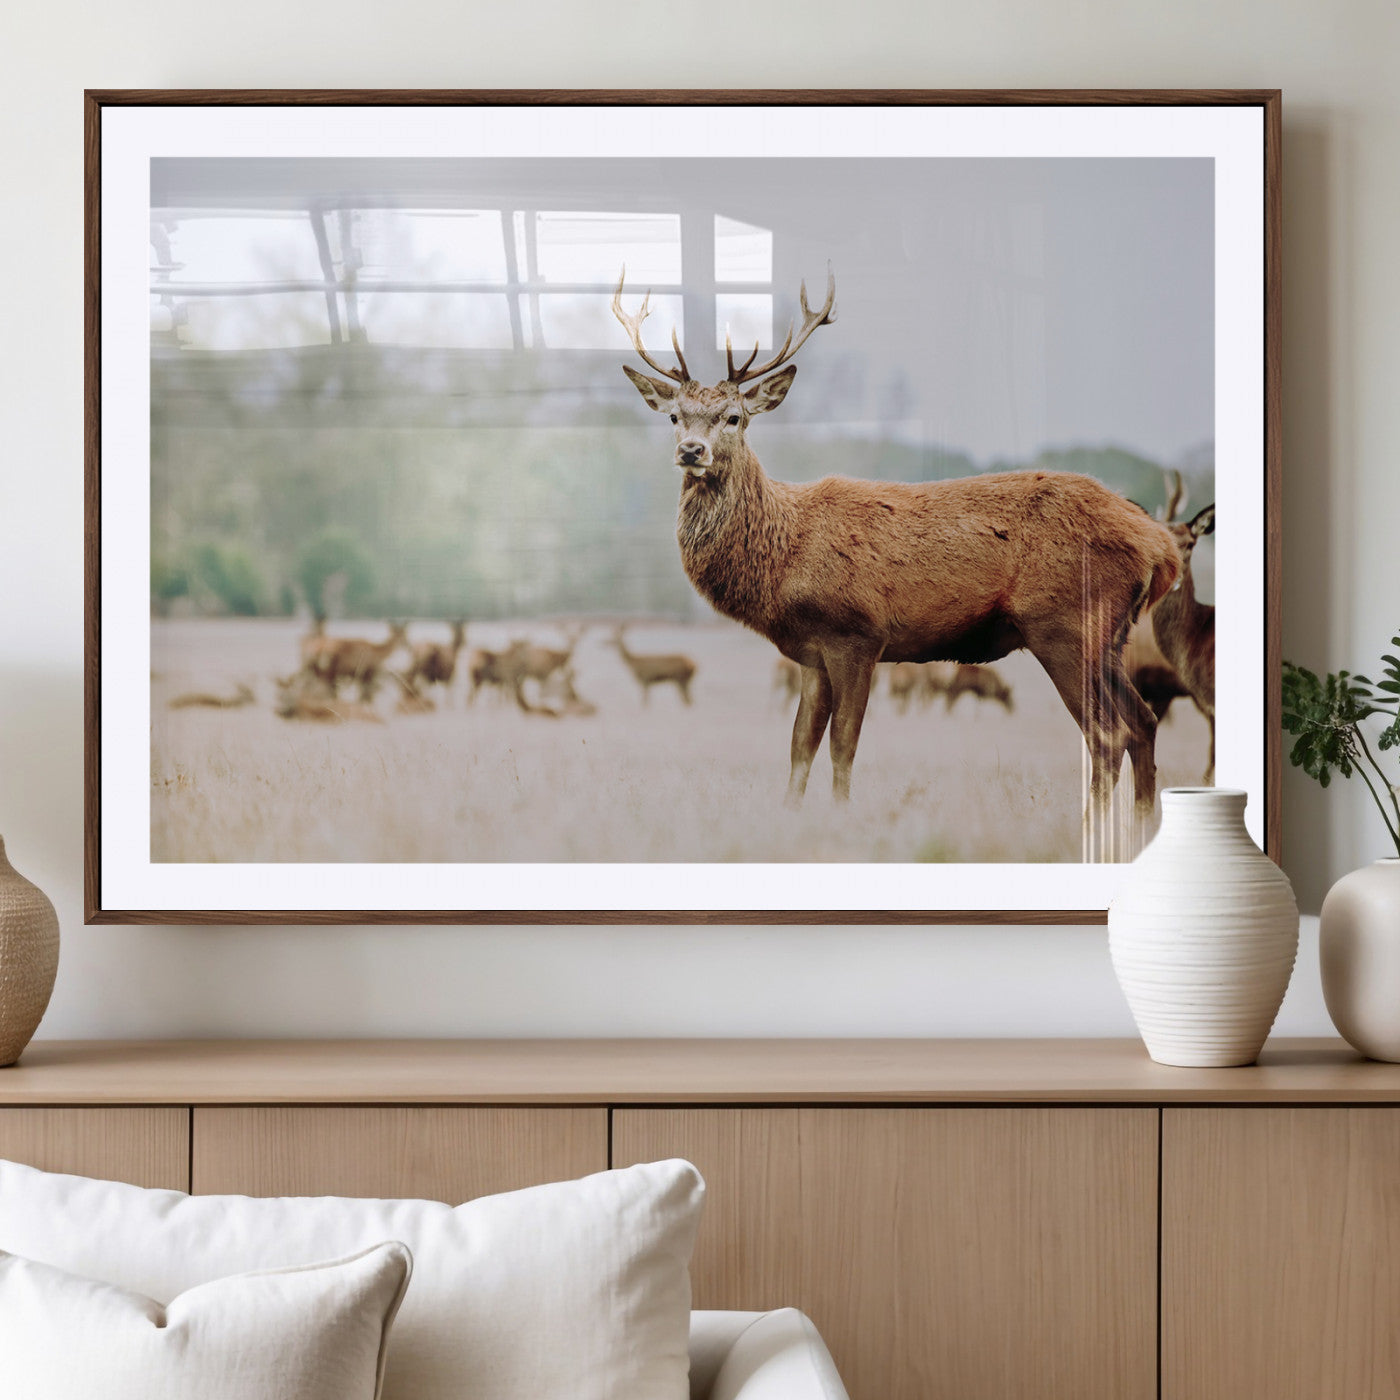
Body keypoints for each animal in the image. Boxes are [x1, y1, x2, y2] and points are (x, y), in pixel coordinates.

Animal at [614, 266, 1180, 850]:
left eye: (733, 417)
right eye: (675, 416)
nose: (691, 451)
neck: (785, 557)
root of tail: (1160, 547)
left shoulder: (857, 634)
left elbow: (843, 744)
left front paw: (843, 819)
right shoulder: (811, 653)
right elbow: (799, 747)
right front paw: (789, 819)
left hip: (1064, 625)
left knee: (1108, 733)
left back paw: (1092, 830)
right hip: (1109, 637)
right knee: (1144, 723)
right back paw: (1139, 829)